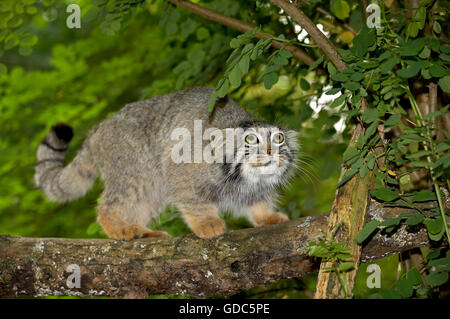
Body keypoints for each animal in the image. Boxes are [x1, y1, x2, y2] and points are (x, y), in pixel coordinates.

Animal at [35, 87, 298, 240]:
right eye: (251, 139)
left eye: (279, 138)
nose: (271, 150)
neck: (244, 178)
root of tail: (98, 128)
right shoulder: (179, 168)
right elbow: (195, 203)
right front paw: (206, 223)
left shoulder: (254, 190)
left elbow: (257, 203)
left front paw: (266, 216)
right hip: (137, 173)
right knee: (107, 206)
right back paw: (119, 228)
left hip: (152, 187)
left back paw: (143, 231)